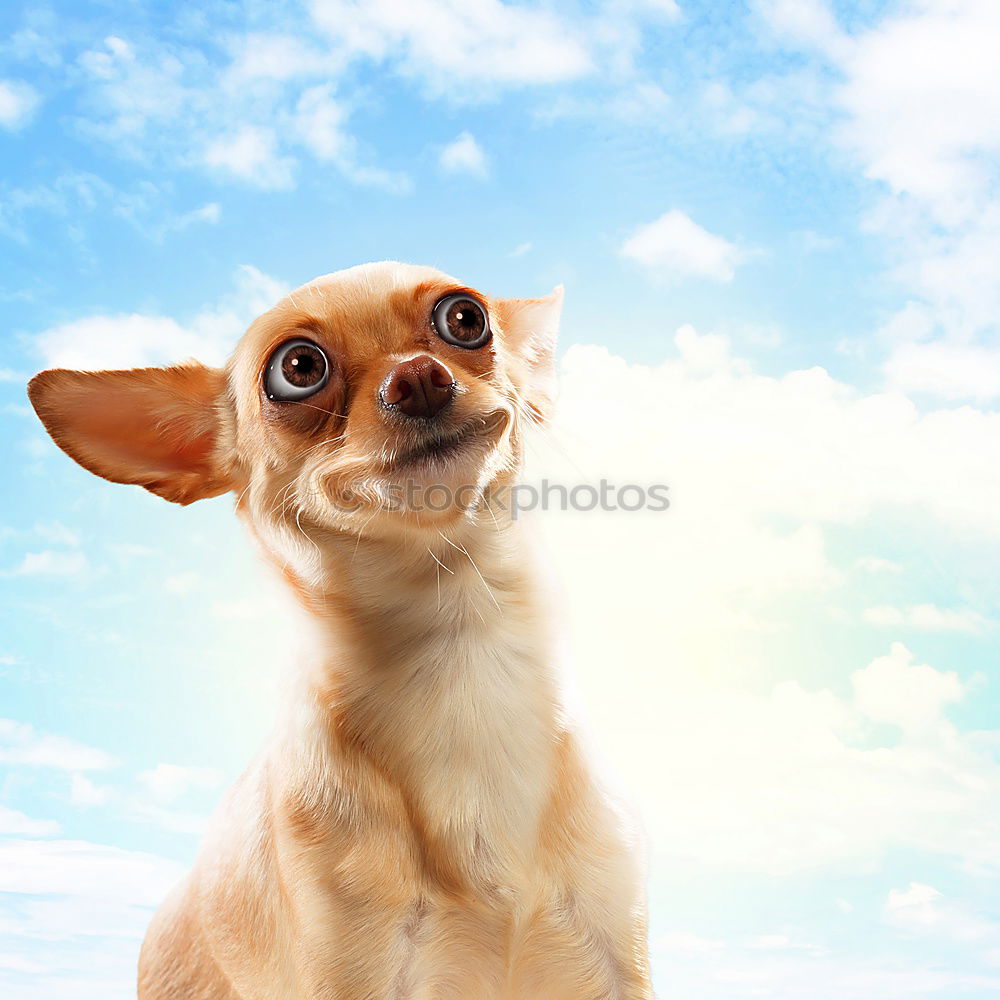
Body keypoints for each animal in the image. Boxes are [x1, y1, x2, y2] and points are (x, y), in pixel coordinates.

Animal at [27, 262, 652, 996]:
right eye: (299, 368)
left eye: (465, 318)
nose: (418, 376)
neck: (460, 646)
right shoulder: (353, 967)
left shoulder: (614, 957)